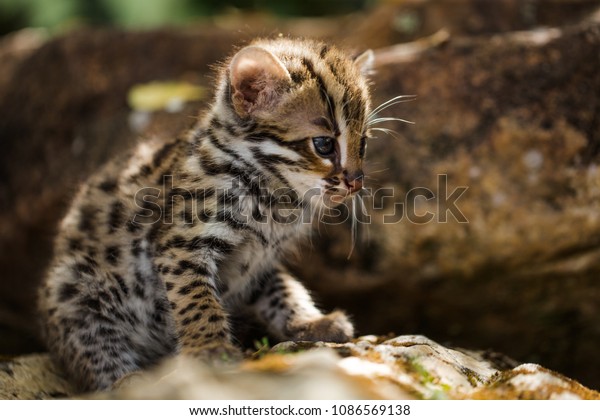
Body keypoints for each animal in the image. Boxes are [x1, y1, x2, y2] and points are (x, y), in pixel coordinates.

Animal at [37, 38, 372, 390]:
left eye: (363, 143)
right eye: (323, 145)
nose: (356, 182)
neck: (277, 194)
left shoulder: (260, 260)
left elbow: (283, 289)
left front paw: (311, 322)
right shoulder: (182, 245)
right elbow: (195, 299)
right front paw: (210, 348)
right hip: (72, 287)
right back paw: (128, 382)